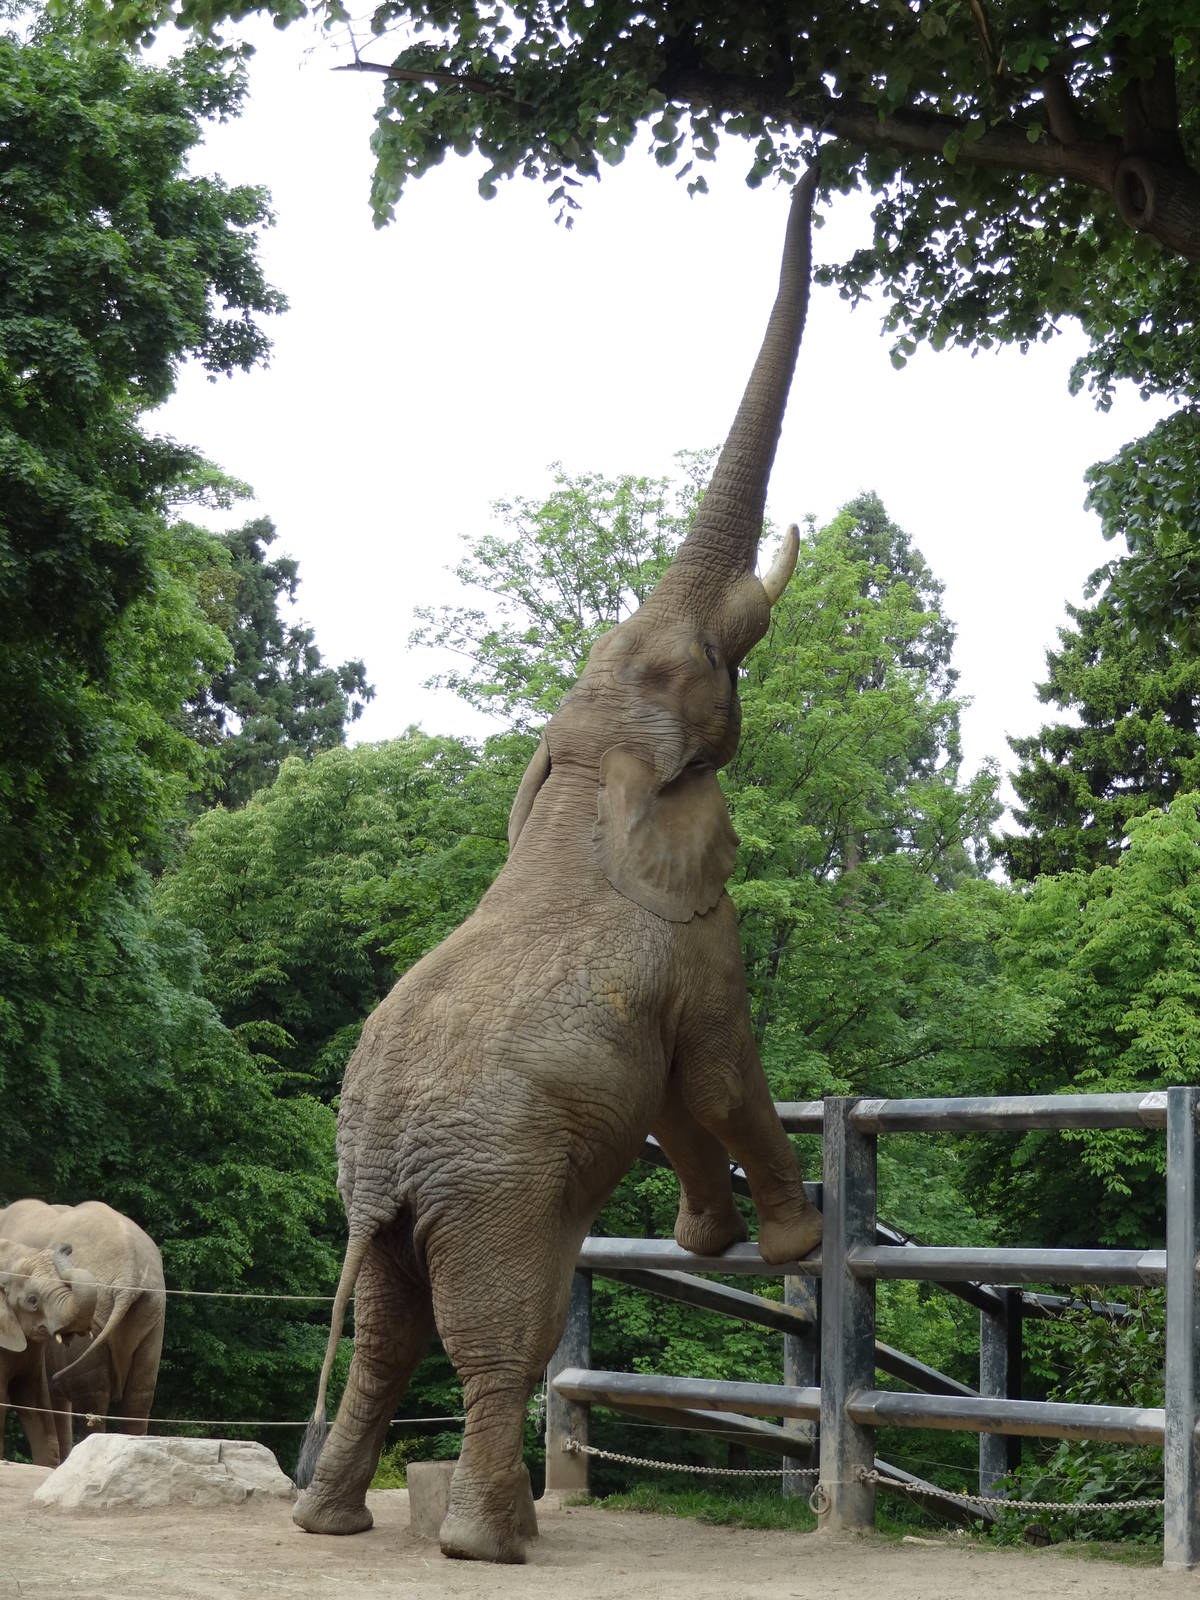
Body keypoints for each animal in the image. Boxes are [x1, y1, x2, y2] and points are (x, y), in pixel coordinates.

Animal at [293, 169, 824, 1565]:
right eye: (709, 664)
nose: (813, 170)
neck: (587, 774)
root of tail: (381, 1178)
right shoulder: (698, 934)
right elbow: (717, 1071)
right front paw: (782, 1241)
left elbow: (686, 1093)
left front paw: (715, 1239)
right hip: (497, 1189)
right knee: (497, 1337)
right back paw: (490, 1540)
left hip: (398, 1206)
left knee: (389, 1338)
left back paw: (330, 1521)